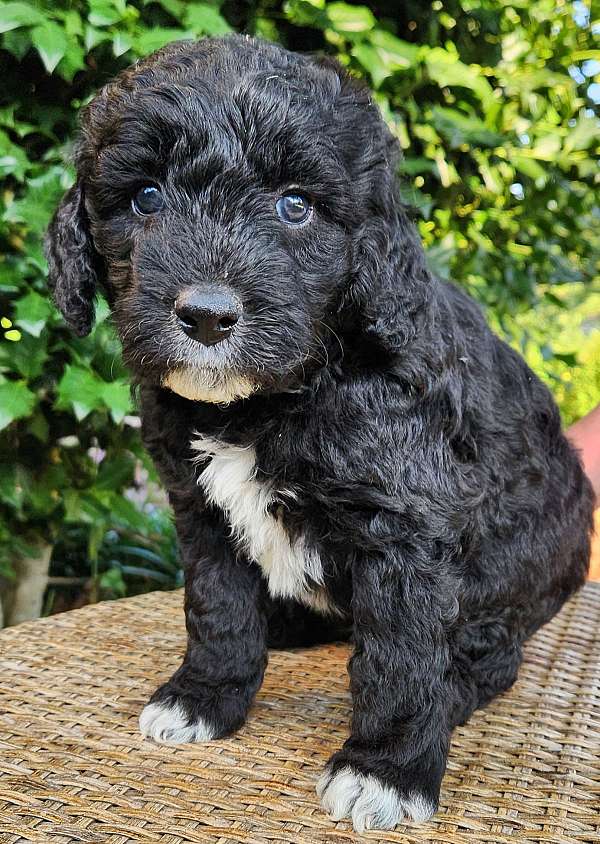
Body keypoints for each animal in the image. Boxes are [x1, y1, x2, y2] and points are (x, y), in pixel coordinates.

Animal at [44, 34, 592, 832]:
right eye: (145, 197)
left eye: (294, 206)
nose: (207, 315)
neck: (273, 397)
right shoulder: (200, 509)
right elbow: (218, 610)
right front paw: (205, 697)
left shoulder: (405, 526)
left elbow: (401, 657)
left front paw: (387, 769)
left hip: (520, 569)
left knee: (490, 652)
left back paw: (454, 691)